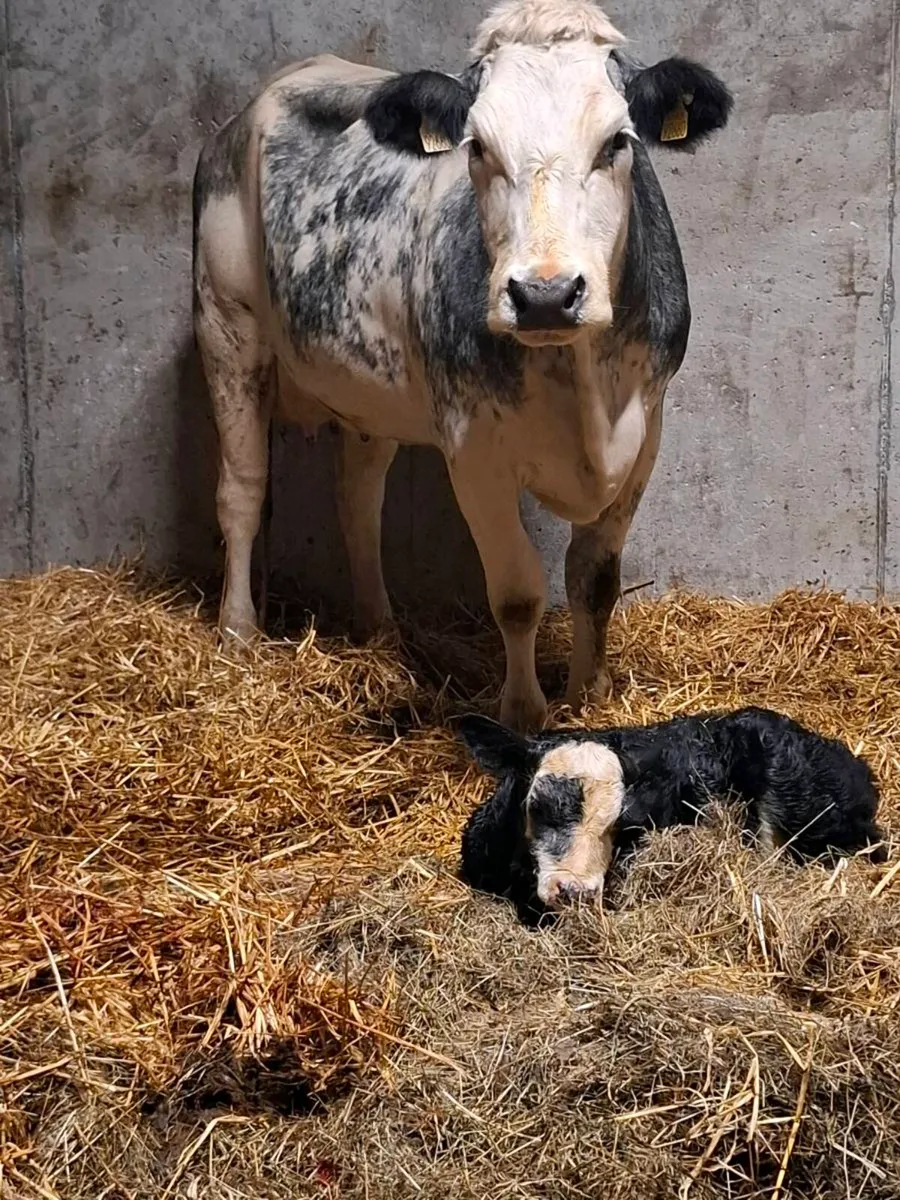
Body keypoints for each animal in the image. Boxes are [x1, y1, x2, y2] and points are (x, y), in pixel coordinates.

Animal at [192, 0, 734, 732]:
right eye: (478, 148)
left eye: (617, 143)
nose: (544, 294)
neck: (583, 387)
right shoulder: (473, 450)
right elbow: (517, 592)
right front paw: (524, 712)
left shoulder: (646, 431)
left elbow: (594, 579)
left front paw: (589, 695)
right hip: (226, 327)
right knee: (243, 493)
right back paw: (238, 634)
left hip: (367, 392)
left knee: (358, 499)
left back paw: (381, 629)